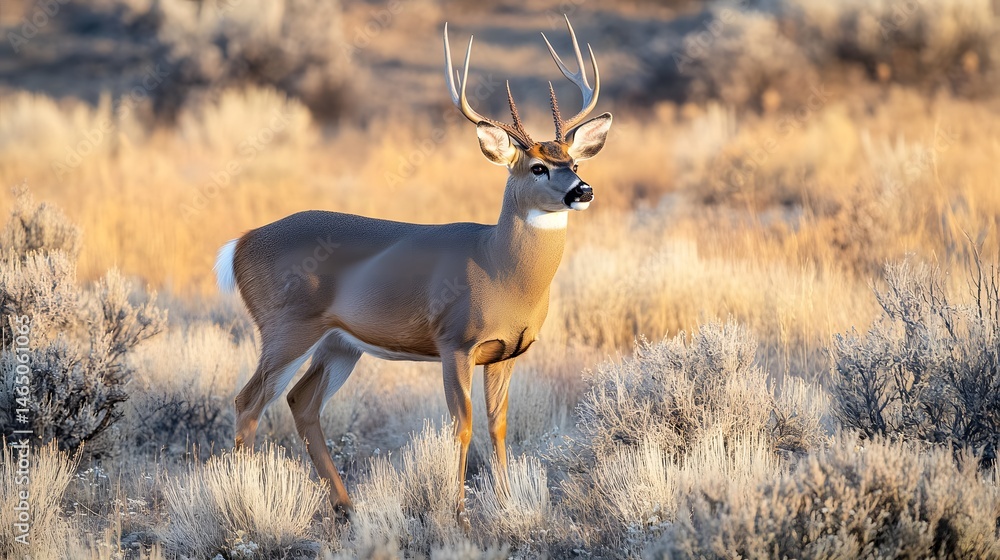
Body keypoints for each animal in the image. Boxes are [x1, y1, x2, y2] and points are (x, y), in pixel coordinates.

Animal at [213, 16, 612, 517]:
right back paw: (244, 497)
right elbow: (462, 425)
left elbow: (499, 426)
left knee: (301, 402)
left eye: (572, 160)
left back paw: (346, 506)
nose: (583, 190)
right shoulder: (454, 341)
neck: (500, 268)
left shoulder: (506, 352)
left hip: (339, 343)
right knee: (248, 401)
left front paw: (507, 506)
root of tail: (240, 243)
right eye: (537, 167)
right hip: (285, 326)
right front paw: (458, 513)